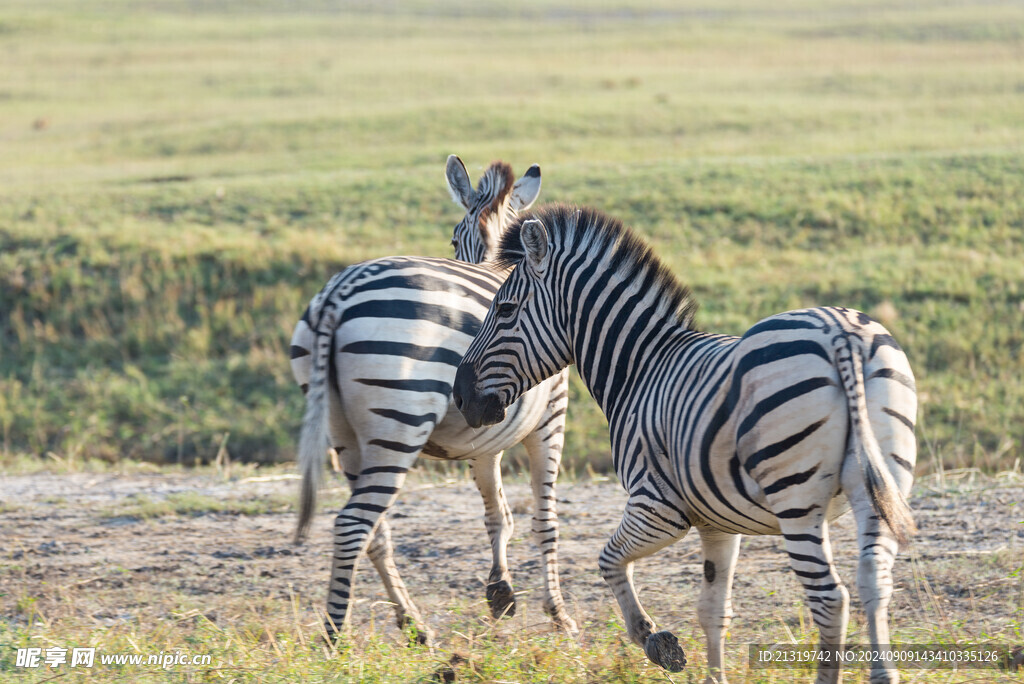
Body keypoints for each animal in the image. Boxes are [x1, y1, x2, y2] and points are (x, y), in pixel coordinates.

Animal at [288, 157, 577, 643]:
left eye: (453, 239)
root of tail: (337, 295)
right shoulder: (549, 419)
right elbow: (544, 520)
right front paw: (557, 613)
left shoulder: (484, 436)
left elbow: (497, 512)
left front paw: (500, 592)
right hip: (399, 421)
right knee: (352, 524)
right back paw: (334, 636)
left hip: (342, 433)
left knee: (375, 531)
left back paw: (413, 624)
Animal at [456, 202, 921, 684]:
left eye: (505, 309)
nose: (460, 396)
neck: (641, 368)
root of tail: (839, 332)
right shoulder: (719, 521)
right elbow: (713, 610)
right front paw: (711, 675)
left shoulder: (658, 506)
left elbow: (608, 560)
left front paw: (656, 641)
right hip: (882, 484)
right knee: (874, 581)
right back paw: (884, 673)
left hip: (795, 500)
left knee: (830, 598)